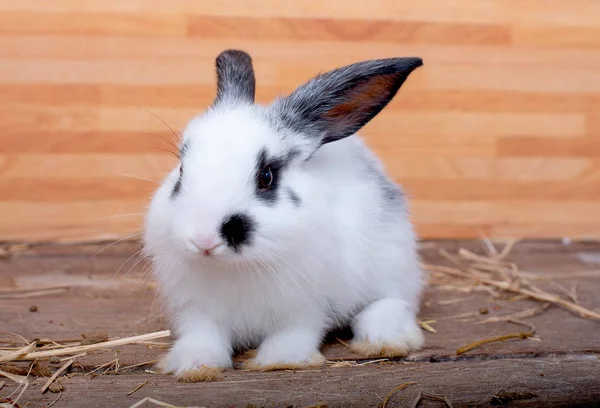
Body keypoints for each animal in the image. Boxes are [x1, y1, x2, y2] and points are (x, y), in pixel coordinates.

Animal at [143, 49, 426, 380]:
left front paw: (280, 360)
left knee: (393, 301)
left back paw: (385, 340)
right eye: (181, 171)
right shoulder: (198, 310)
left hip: (393, 263)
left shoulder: (305, 306)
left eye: (266, 176)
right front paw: (194, 365)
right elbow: (203, 336)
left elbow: (294, 332)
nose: (203, 239)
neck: (235, 267)